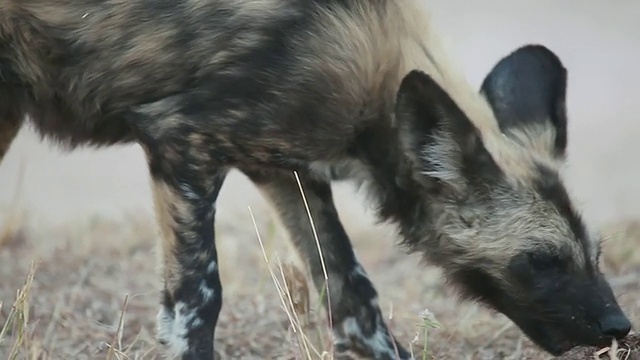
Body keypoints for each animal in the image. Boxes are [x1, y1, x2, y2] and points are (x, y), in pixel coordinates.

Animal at [0, 0, 632, 358]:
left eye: (594, 254)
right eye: (542, 260)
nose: (619, 325)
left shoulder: (284, 167)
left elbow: (353, 297)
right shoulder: (182, 142)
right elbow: (198, 303)